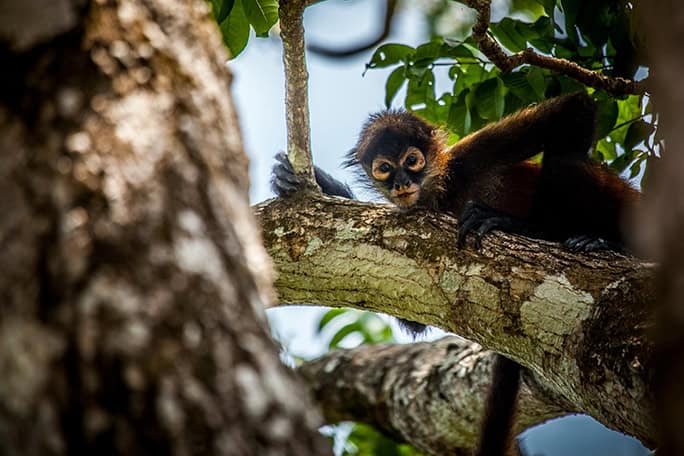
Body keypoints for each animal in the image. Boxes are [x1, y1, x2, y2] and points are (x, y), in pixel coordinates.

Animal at [271, 92, 639, 455]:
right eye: (385, 168)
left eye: (412, 161)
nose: (402, 183)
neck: (441, 193)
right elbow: (411, 318)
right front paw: (299, 181)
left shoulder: (466, 157)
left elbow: (573, 110)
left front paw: (524, 227)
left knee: (566, 158)